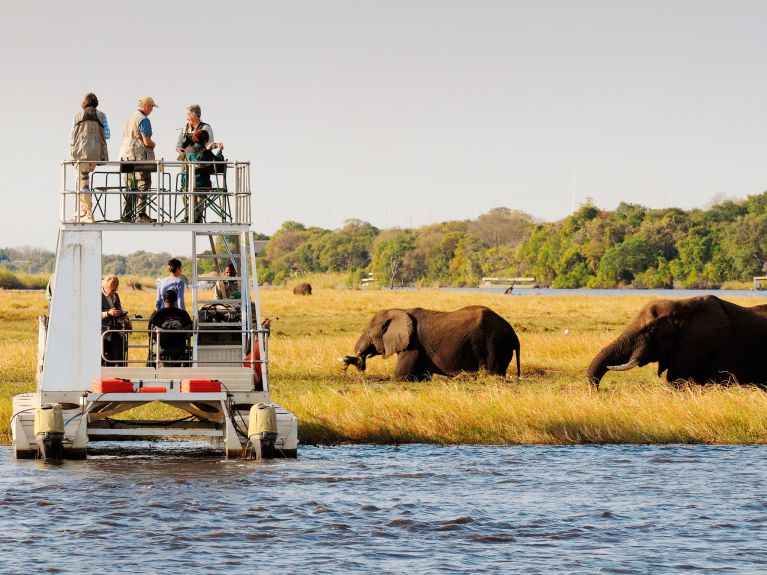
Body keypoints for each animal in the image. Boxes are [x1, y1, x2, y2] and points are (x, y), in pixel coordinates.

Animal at [342, 306, 520, 382]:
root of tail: (514, 335)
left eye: (368, 332)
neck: (400, 310)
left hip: (494, 344)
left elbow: (400, 377)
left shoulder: (414, 344)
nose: (348, 362)